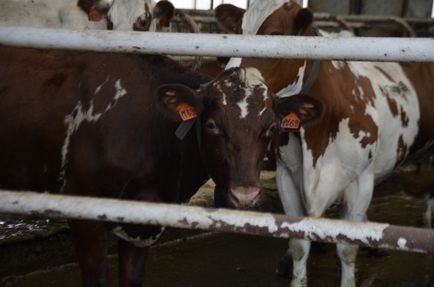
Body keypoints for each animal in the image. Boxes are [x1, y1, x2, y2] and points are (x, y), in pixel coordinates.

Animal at [216, 0, 434, 287]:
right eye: (237, 32)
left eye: (274, 34)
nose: (226, 83)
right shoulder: (287, 175)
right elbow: (299, 242)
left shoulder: (361, 180)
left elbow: (348, 247)